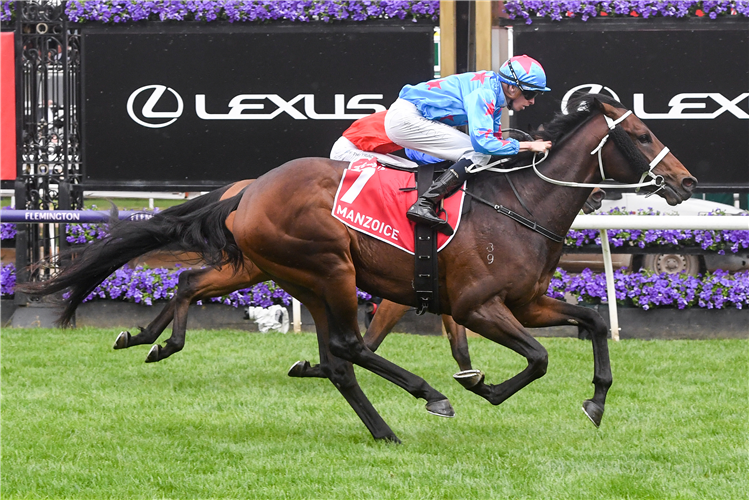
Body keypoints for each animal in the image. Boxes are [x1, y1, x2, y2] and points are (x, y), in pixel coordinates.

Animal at [21, 95, 696, 444]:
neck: (519, 206)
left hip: (300, 276)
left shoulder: (524, 301)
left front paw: (596, 402)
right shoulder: (477, 305)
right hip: (326, 268)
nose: (686, 182)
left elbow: (593, 321)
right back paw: (425, 397)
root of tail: (248, 192)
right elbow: (537, 357)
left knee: (337, 355)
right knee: (347, 347)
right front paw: (481, 386)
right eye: (641, 134)